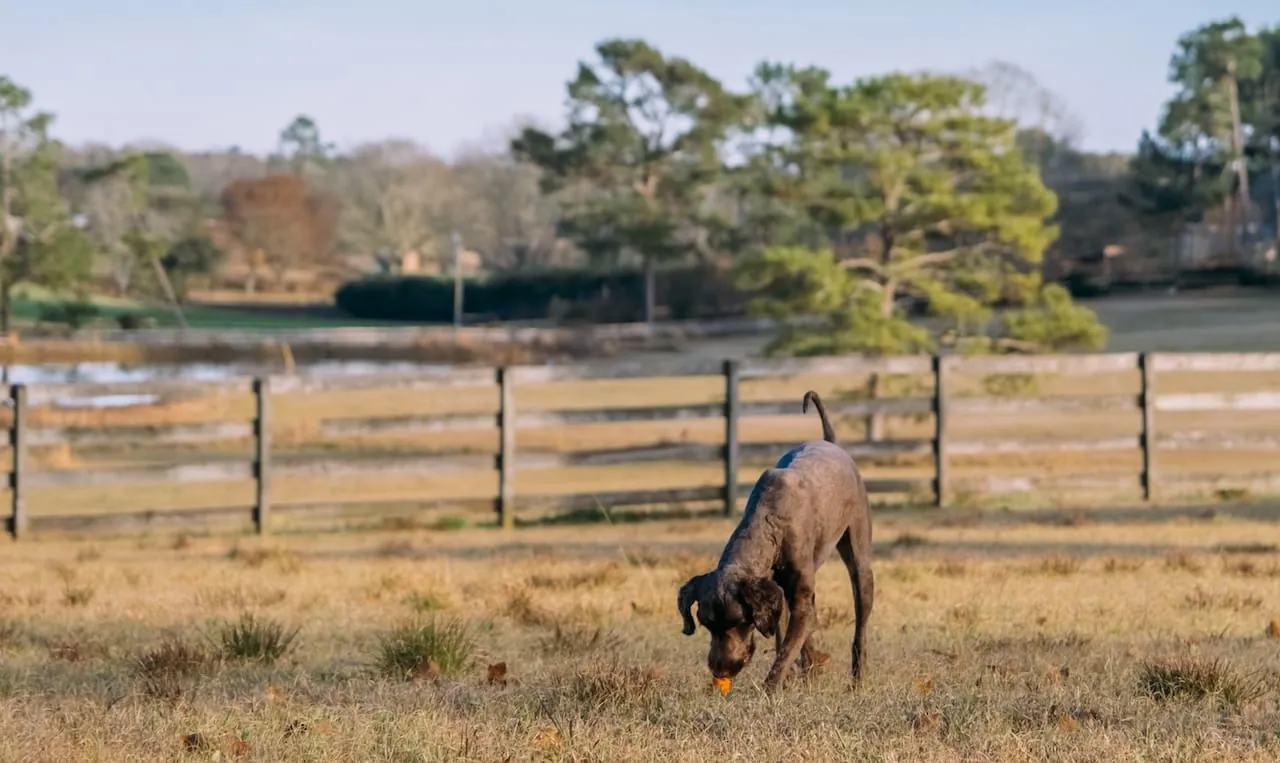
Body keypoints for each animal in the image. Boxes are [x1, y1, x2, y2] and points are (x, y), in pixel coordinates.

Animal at [675, 389, 875, 696]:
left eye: (739, 621)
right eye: (706, 623)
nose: (720, 670)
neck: (769, 526)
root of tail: (831, 443)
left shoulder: (799, 599)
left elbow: (787, 649)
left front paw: (772, 688)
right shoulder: (778, 595)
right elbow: (790, 637)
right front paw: (805, 672)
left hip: (860, 558)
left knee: (860, 625)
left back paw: (857, 679)